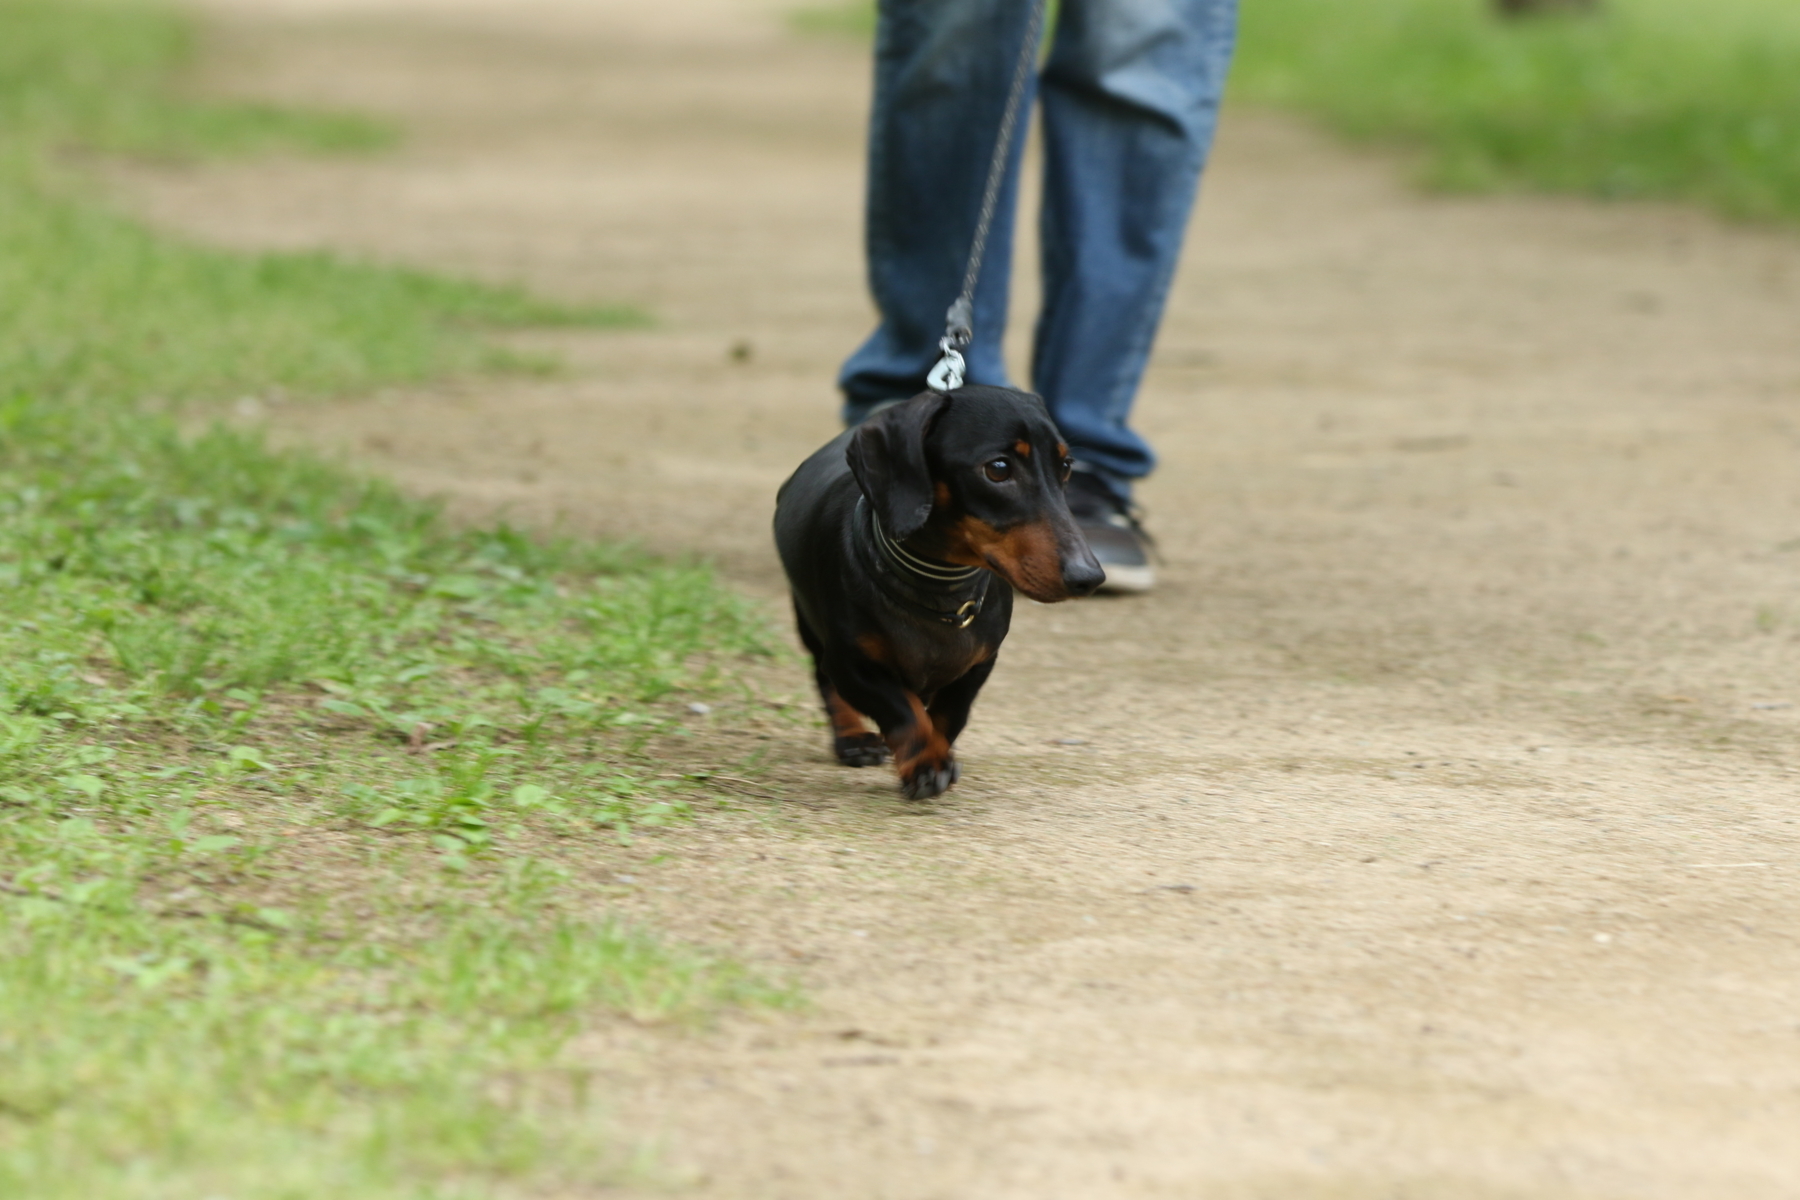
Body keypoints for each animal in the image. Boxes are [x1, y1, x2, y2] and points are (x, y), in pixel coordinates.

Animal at [777, 386, 1101, 798]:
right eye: (998, 469)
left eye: (1066, 466)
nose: (1088, 577)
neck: (940, 583)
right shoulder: (850, 663)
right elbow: (902, 710)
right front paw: (926, 764)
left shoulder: (979, 662)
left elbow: (950, 715)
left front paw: (938, 750)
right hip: (809, 621)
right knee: (824, 680)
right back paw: (853, 739)